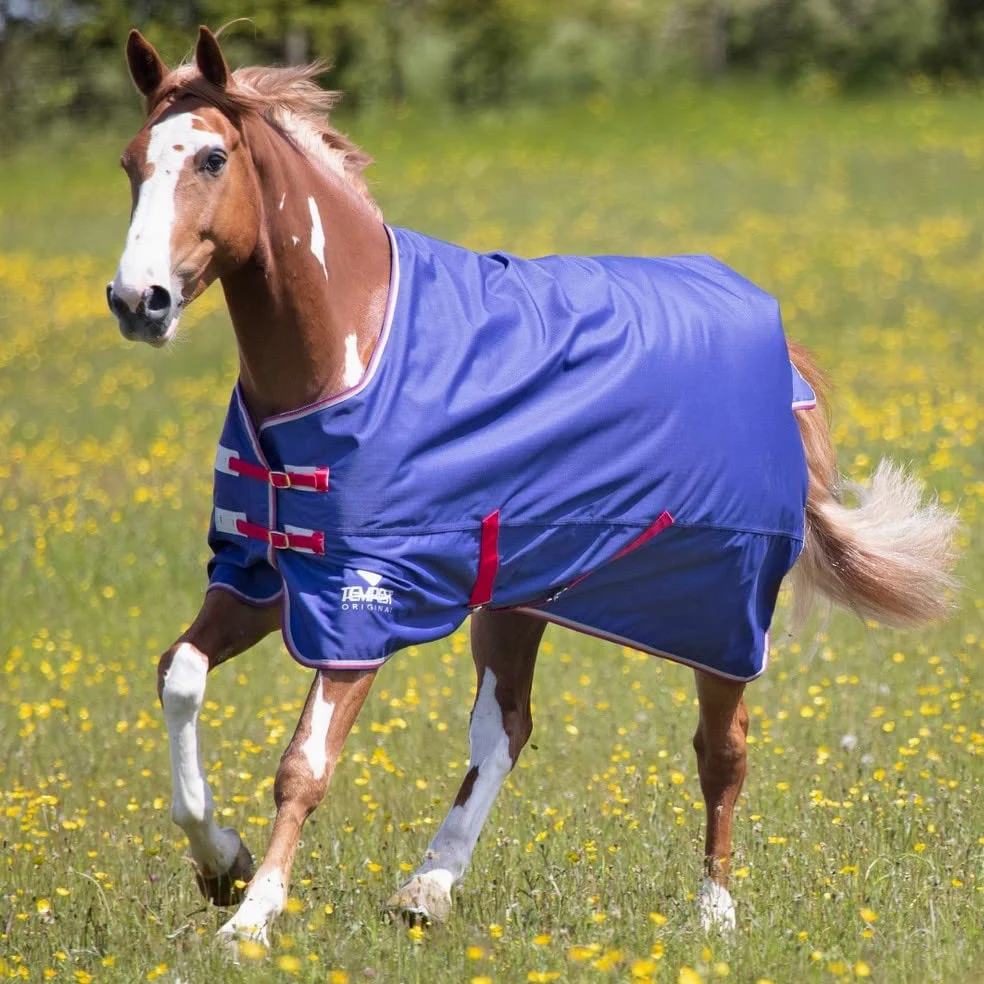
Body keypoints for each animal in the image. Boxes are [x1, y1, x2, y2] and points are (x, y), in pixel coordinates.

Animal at [107, 26, 958, 947]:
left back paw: (715, 913)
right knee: (506, 727)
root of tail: (778, 346)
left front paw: (252, 916)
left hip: (720, 610)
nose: (138, 301)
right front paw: (218, 861)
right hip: (520, 594)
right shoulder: (268, 578)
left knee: (721, 752)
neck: (350, 349)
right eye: (130, 162)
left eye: (213, 158)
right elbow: (179, 673)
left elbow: (304, 764)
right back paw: (428, 887)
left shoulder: (364, 599)